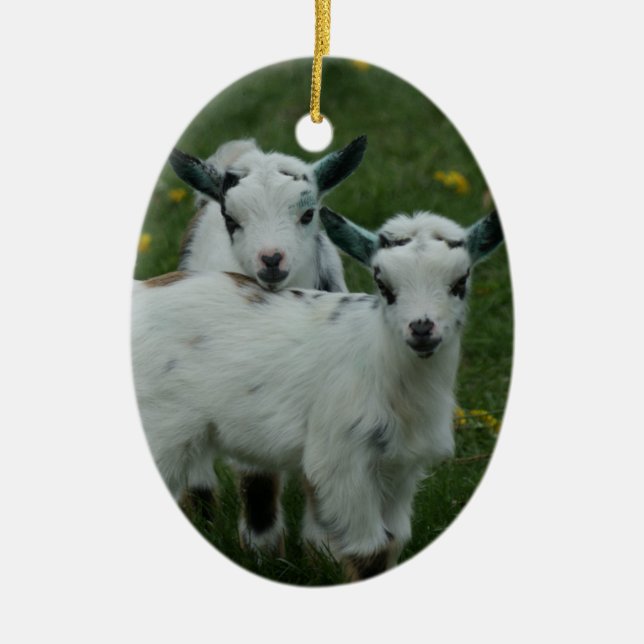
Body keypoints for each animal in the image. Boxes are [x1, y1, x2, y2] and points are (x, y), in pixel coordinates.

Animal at [131, 208, 503, 580]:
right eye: (383, 284)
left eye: (460, 282)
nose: (422, 328)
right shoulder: (341, 460)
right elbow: (371, 550)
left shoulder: (400, 466)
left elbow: (394, 540)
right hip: (162, 426)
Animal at [167, 136, 367, 550]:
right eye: (231, 220)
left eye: (309, 215)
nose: (271, 259)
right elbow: (256, 477)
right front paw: (263, 549)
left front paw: (325, 547)